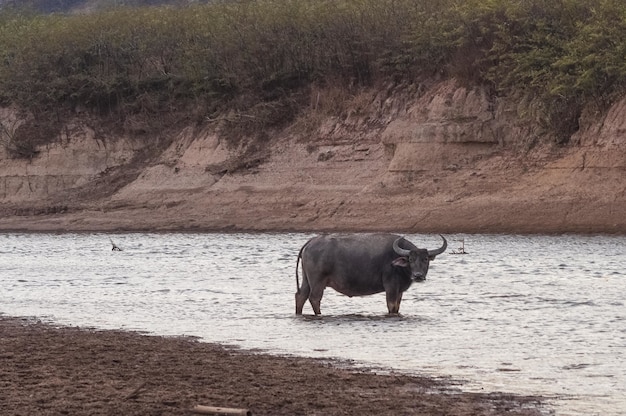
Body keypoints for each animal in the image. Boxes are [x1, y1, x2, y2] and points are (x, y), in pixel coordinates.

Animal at [294, 234, 446, 316]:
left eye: (425, 259)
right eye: (411, 259)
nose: (418, 275)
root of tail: (311, 241)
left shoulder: (400, 290)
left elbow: (397, 307)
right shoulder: (391, 287)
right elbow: (391, 306)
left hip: (306, 279)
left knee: (300, 296)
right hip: (318, 281)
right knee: (314, 298)